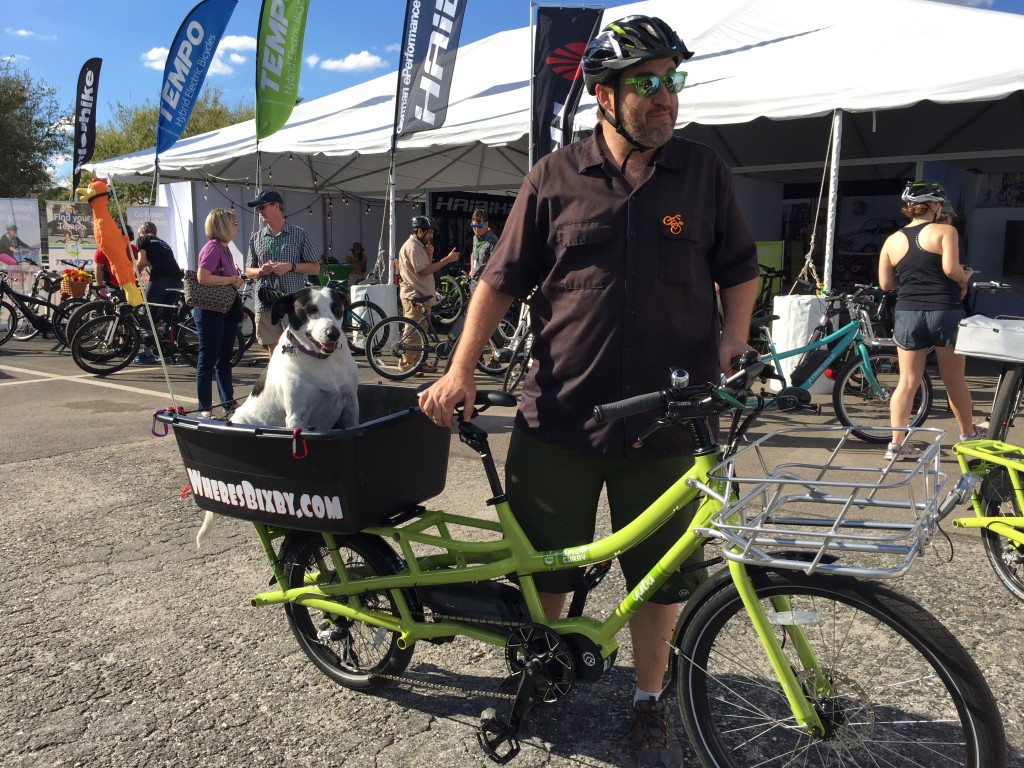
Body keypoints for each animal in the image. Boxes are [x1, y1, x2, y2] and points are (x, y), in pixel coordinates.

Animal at [196, 286, 360, 548]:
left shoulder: (351, 406)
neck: (321, 361)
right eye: (309, 310)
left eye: (337, 308)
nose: (333, 333)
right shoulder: (296, 419)